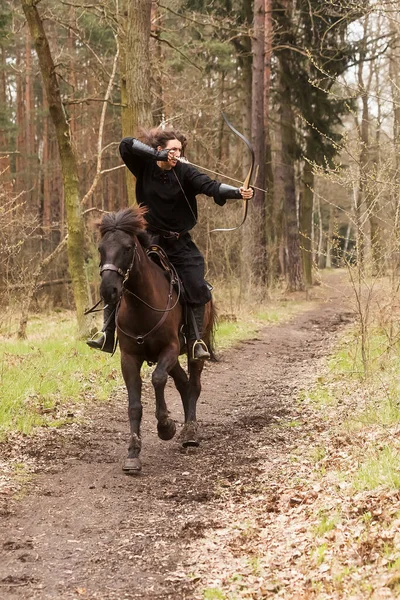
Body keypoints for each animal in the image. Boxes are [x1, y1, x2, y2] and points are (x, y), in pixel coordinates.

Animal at [97, 206, 216, 474]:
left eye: (128, 247)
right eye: (101, 248)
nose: (108, 291)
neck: (141, 305)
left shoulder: (169, 349)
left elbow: (158, 379)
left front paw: (165, 426)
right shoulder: (129, 358)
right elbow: (134, 404)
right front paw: (133, 453)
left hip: (194, 349)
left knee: (193, 384)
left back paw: (189, 432)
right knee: (183, 383)